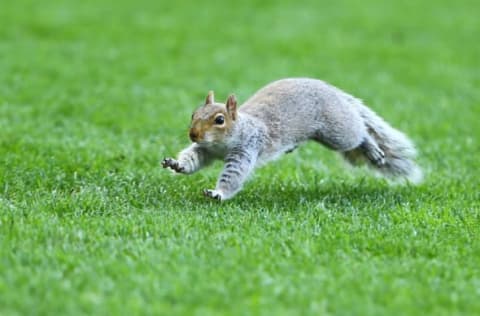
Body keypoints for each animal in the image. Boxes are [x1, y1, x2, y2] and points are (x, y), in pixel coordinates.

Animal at [163, 78, 422, 200]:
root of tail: (333, 92)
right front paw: (176, 164)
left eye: (219, 120)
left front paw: (218, 193)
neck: (221, 143)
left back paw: (371, 147)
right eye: (194, 114)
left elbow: (233, 175)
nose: (193, 134)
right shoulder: (205, 150)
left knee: (359, 134)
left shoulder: (246, 148)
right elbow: (193, 159)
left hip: (336, 131)